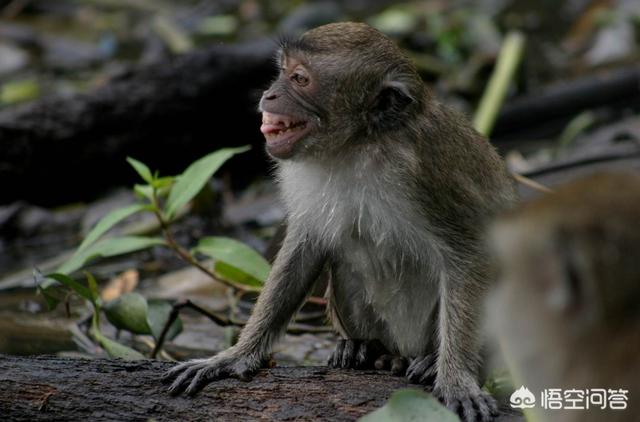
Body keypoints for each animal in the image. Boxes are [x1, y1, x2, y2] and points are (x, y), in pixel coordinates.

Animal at [164, 22, 516, 422]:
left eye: (300, 79)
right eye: (282, 71)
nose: (269, 95)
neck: (355, 145)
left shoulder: (424, 174)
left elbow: (471, 251)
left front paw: (457, 379)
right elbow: (303, 250)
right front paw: (233, 357)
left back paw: (429, 361)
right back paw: (367, 349)